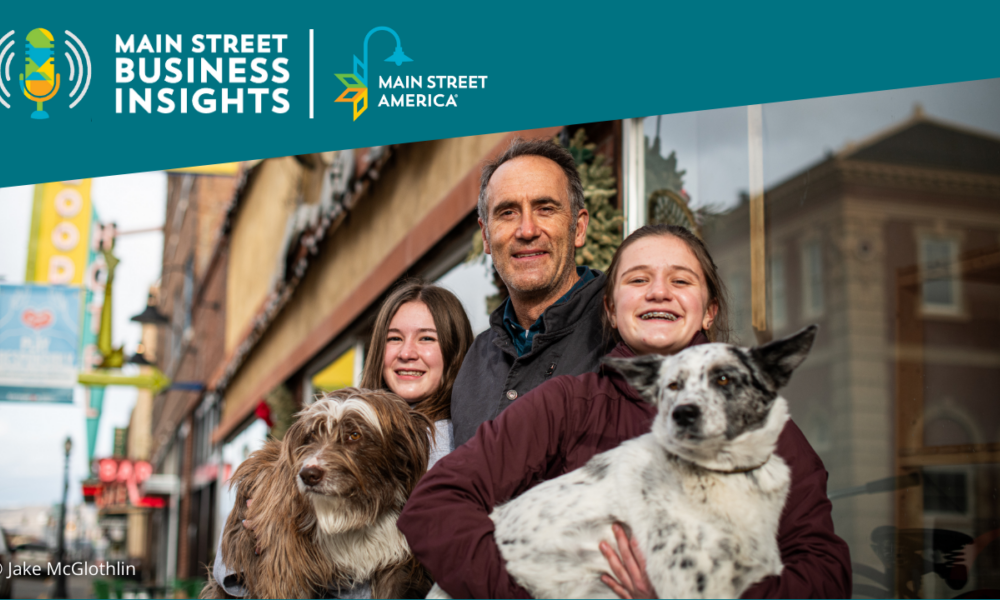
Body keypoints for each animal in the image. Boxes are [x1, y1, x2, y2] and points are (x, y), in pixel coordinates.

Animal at [203, 386, 434, 596]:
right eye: (312, 435)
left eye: (354, 435)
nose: (308, 475)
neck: (351, 512)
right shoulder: (287, 568)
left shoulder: (394, 564)